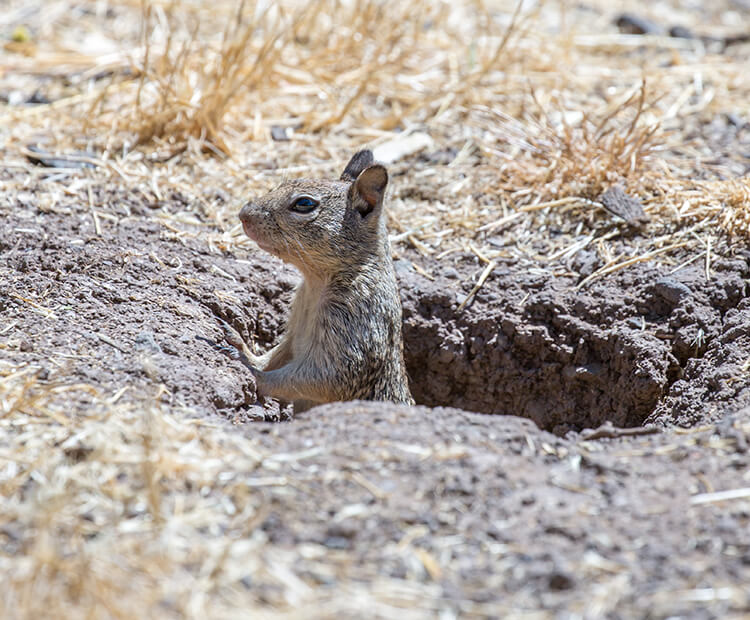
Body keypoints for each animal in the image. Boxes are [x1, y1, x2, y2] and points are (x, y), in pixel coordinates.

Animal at [229, 148, 418, 414]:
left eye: (304, 204)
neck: (315, 283)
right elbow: (275, 355)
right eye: (282, 184)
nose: (243, 215)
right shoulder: (294, 330)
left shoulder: (351, 329)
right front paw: (242, 348)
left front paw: (252, 371)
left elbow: (313, 379)